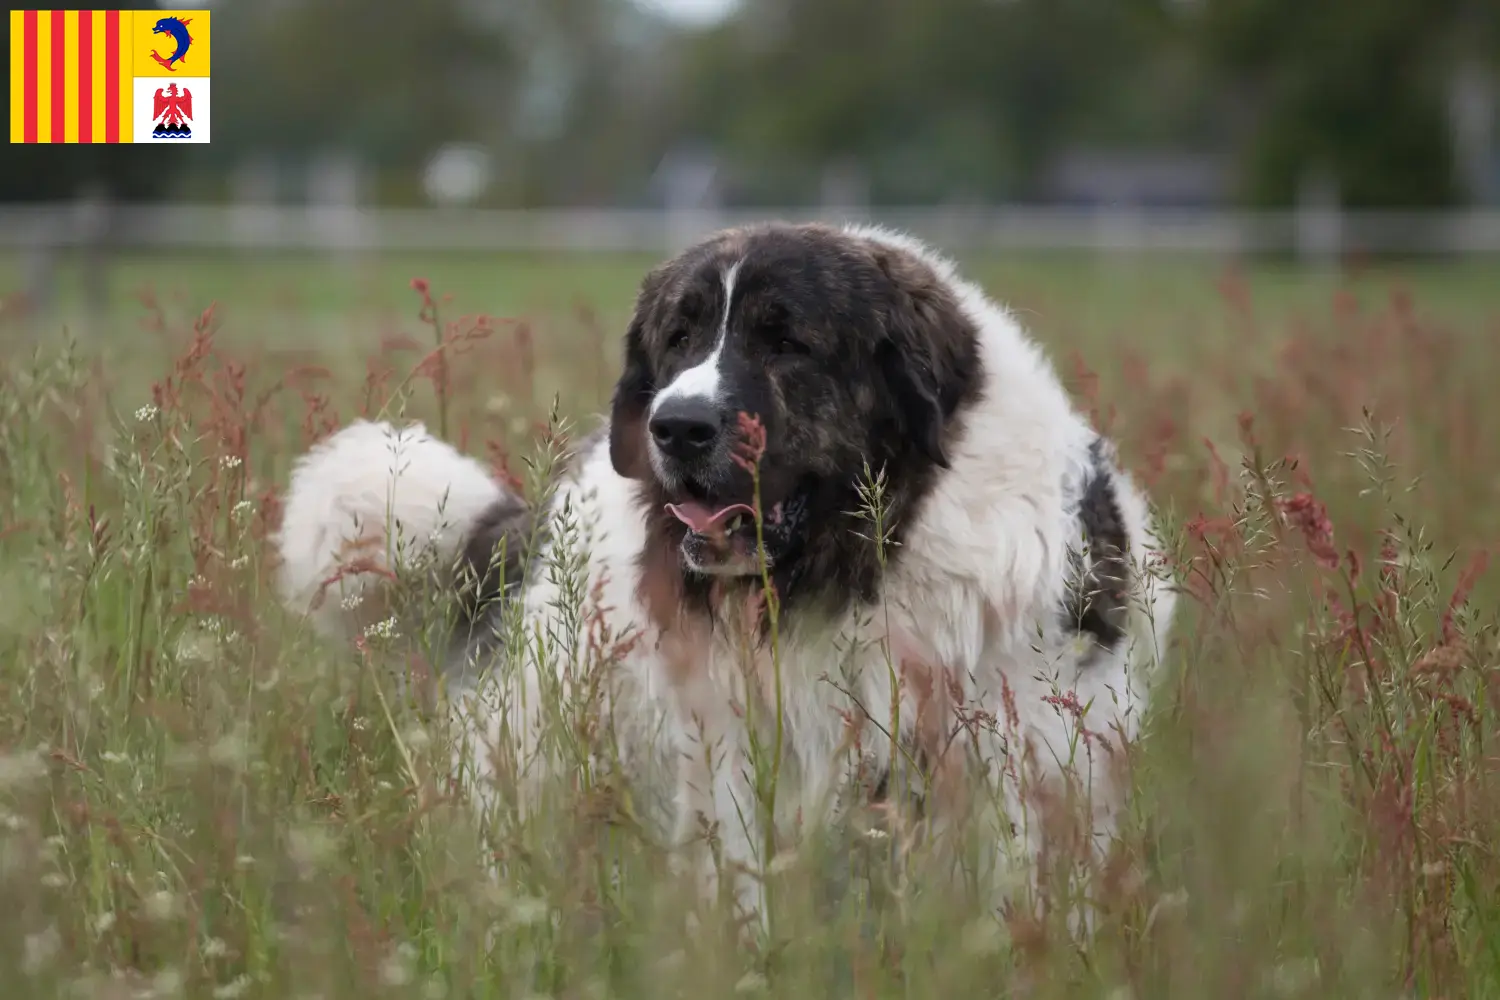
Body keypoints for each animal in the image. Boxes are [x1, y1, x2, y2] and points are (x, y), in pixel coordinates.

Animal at [276, 223, 1176, 929]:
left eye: (787, 342)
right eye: (679, 337)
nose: (676, 425)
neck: (858, 569)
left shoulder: (1021, 757)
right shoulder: (737, 765)